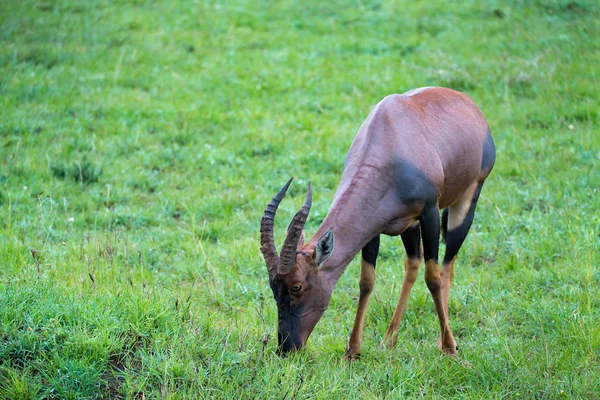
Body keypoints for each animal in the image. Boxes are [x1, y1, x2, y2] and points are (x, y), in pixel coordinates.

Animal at [260, 86, 494, 358]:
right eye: (273, 287)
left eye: (297, 286)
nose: (287, 347)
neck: (390, 136)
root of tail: (468, 104)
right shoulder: (373, 229)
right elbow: (366, 282)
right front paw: (352, 351)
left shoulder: (430, 213)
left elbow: (433, 278)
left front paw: (449, 348)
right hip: (409, 225)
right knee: (412, 264)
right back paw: (389, 340)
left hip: (467, 199)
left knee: (447, 265)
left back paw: (444, 342)